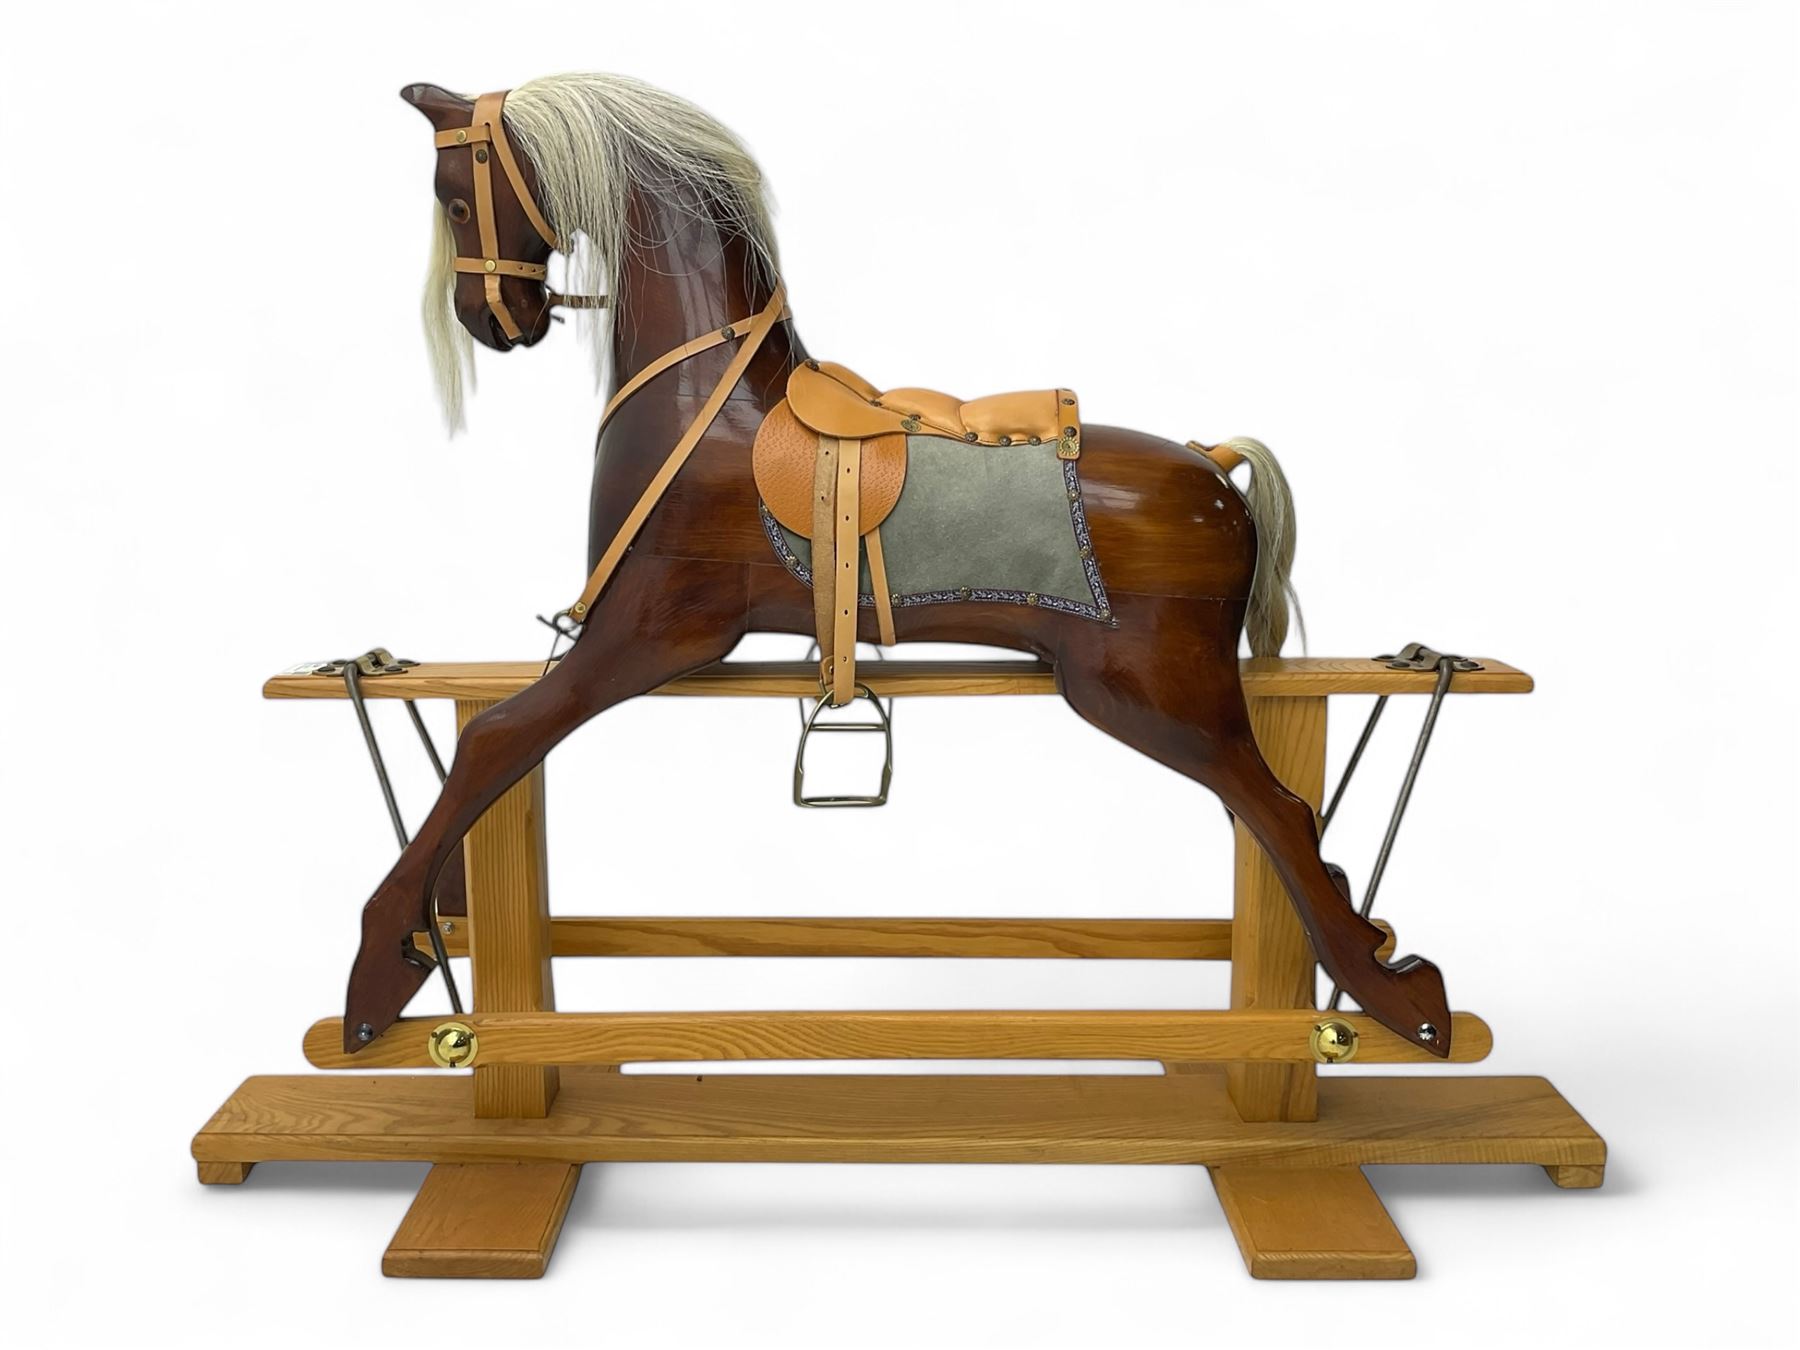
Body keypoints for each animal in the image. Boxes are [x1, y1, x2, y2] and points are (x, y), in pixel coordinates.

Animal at [341, 72, 1452, 1057]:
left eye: (453, 195)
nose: (494, 321)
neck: (704, 390)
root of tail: (1215, 466)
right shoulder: (641, 639)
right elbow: (498, 755)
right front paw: (438, 917)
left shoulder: (650, 629)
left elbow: (495, 743)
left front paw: (382, 964)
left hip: (1154, 693)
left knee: (1282, 815)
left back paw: (1398, 997)